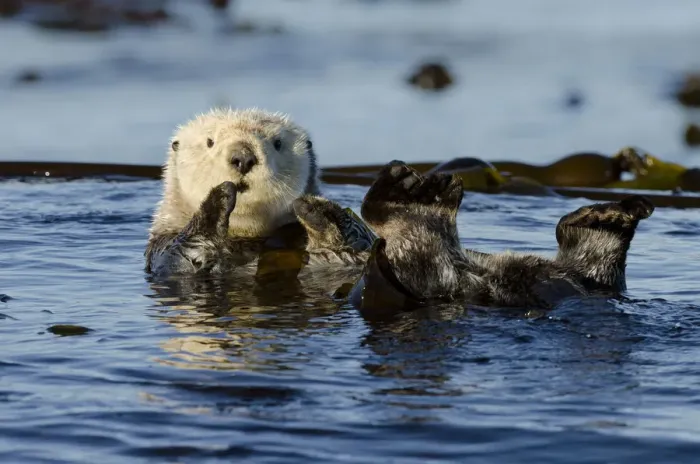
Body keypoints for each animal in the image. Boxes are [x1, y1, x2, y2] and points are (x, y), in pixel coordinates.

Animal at [145, 107, 321, 275]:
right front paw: (219, 200)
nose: (243, 158)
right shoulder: (162, 246)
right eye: (210, 142)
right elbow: (179, 260)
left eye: (277, 143)